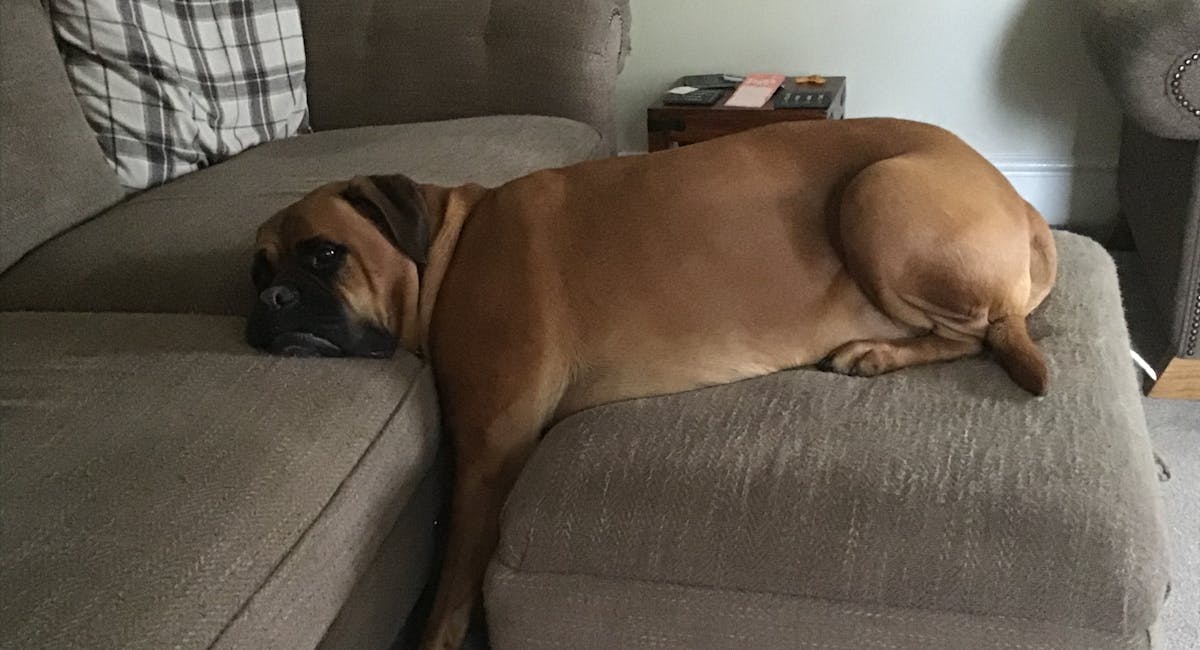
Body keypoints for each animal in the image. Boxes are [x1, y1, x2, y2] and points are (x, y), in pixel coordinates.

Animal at [248, 118, 1056, 650]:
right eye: (257, 269)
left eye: (325, 255)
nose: (272, 300)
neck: (451, 249)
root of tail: (1024, 208)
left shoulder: (487, 451)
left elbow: (452, 583)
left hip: (876, 192)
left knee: (990, 332)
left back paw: (876, 354)